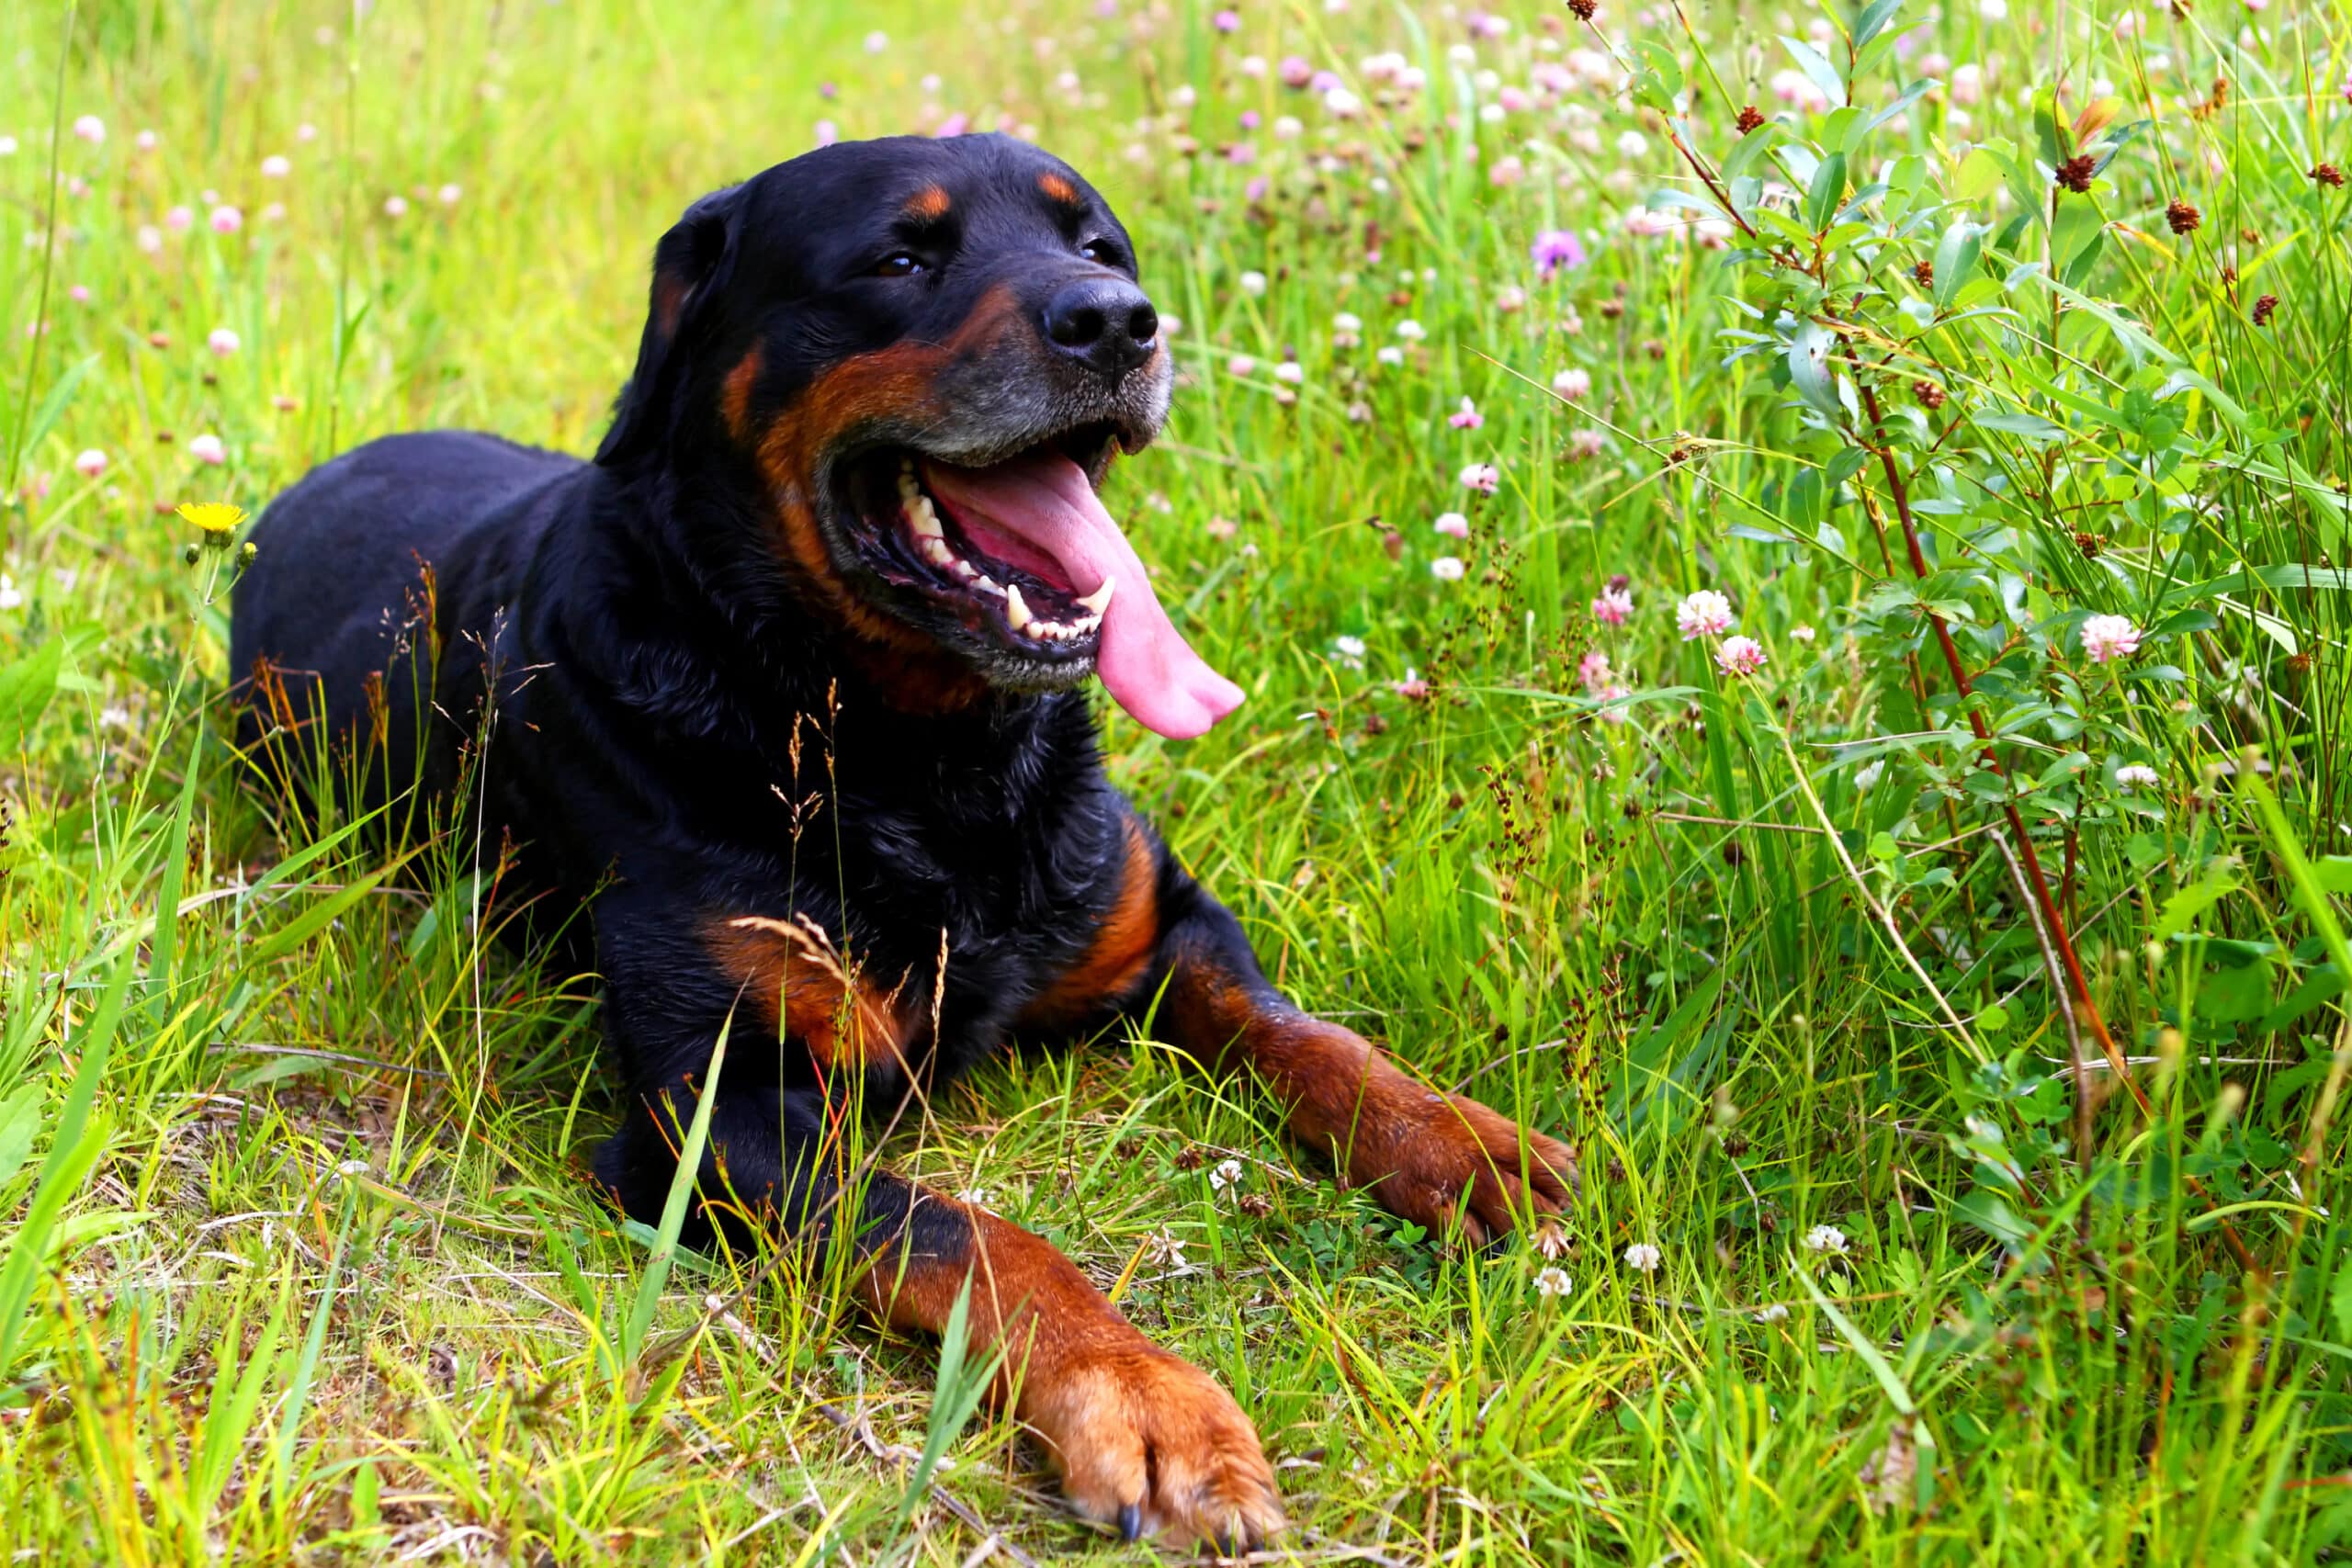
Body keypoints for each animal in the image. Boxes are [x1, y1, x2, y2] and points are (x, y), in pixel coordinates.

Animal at [229, 138, 1571, 1561]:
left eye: (1100, 249)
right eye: (899, 258)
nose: (1118, 323)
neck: (927, 762)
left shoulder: (1162, 919)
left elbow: (1308, 1033)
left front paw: (1460, 1143)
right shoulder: (721, 1110)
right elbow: (974, 1236)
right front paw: (1147, 1400)